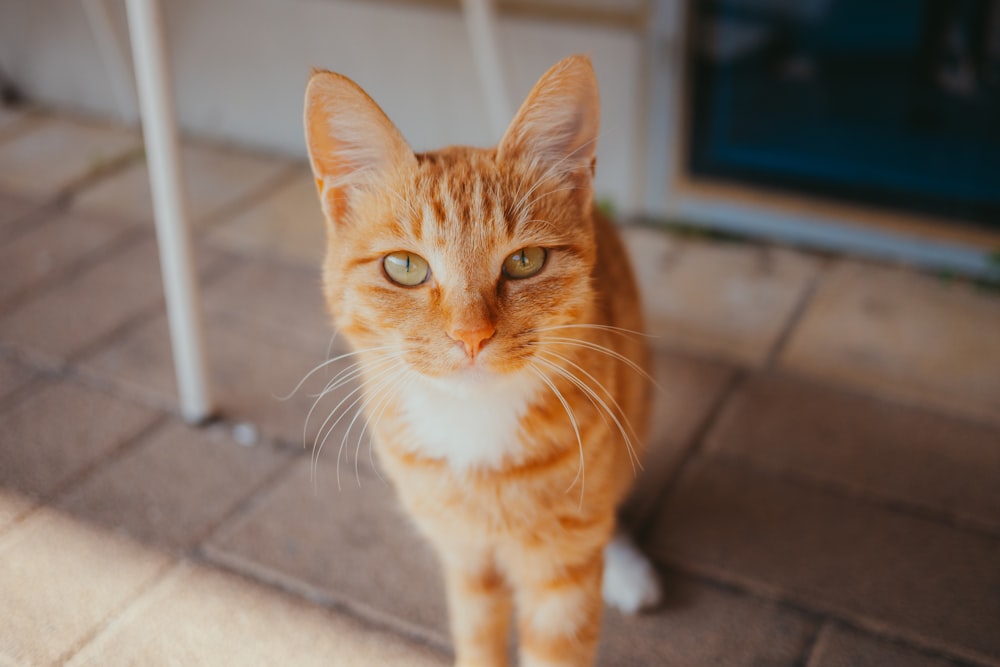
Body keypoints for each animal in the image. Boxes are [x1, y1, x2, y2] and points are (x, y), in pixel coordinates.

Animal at [304, 54, 664, 664]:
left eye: (525, 261)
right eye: (404, 266)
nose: (470, 336)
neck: (474, 431)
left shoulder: (561, 575)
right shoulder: (466, 558)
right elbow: (478, 637)